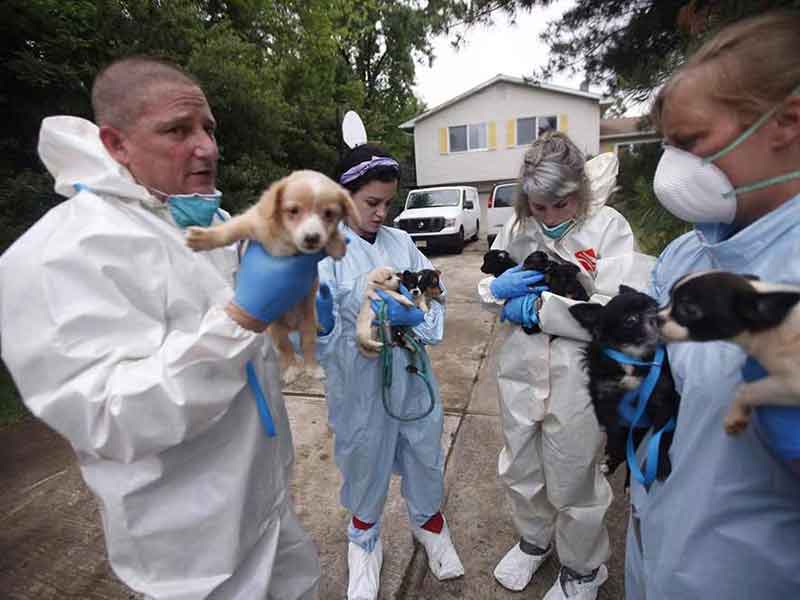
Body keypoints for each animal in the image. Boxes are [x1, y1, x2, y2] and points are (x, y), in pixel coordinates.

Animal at [185, 170, 359, 383]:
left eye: (329, 214)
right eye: (293, 210)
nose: (312, 238)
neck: (288, 242)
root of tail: (293, 326)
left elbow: (333, 235)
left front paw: (337, 244)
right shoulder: (251, 223)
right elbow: (228, 231)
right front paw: (202, 238)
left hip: (308, 321)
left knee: (308, 344)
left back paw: (312, 367)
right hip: (275, 327)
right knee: (285, 347)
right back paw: (291, 369)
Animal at [570, 285, 680, 484]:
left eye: (655, 306)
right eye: (631, 320)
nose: (657, 315)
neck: (631, 357)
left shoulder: (664, 399)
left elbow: (660, 435)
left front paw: (660, 464)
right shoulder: (605, 403)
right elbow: (615, 436)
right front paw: (614, 455)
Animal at [658, 270, 800, 434]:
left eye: (688, 310)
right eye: (669, 298)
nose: (655, 317)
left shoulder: (792, 383)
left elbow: (747, 389)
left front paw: (735, 413)